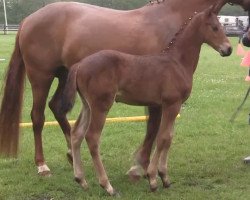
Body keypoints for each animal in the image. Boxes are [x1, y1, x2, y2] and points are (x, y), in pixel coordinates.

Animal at [61, 5, 232, 195]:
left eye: (221, 26)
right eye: (215, 27)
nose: (228, 49)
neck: (177, 63)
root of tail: (79, 65)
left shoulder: (170, 106)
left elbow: (169, 137)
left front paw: (164, 177)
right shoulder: (171, 104)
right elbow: (163, 138)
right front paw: (153, 179)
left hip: (87, 105)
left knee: (76, 133)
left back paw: (81, 180)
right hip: (101, 105)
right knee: (92, 137)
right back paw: (107, 186)